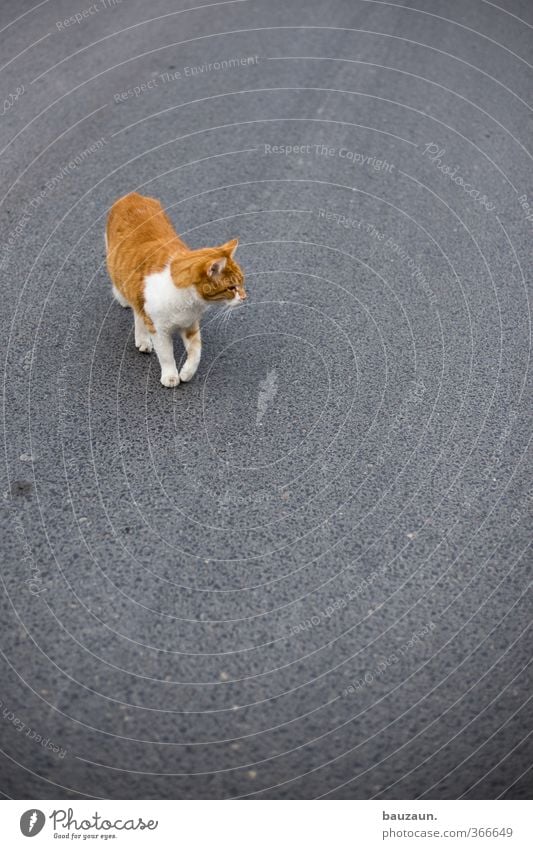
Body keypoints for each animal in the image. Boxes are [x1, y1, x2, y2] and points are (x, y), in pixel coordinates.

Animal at [105, 190, 246, 386]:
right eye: (232, 288)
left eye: (242, 283)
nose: (245, 297)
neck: (188, 302)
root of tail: (133, 195)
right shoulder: (158, 328)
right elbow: (166, 354)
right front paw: (170, 376)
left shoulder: (190, 325)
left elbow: (196, 352)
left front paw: (187, 373)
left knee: (138, 312)